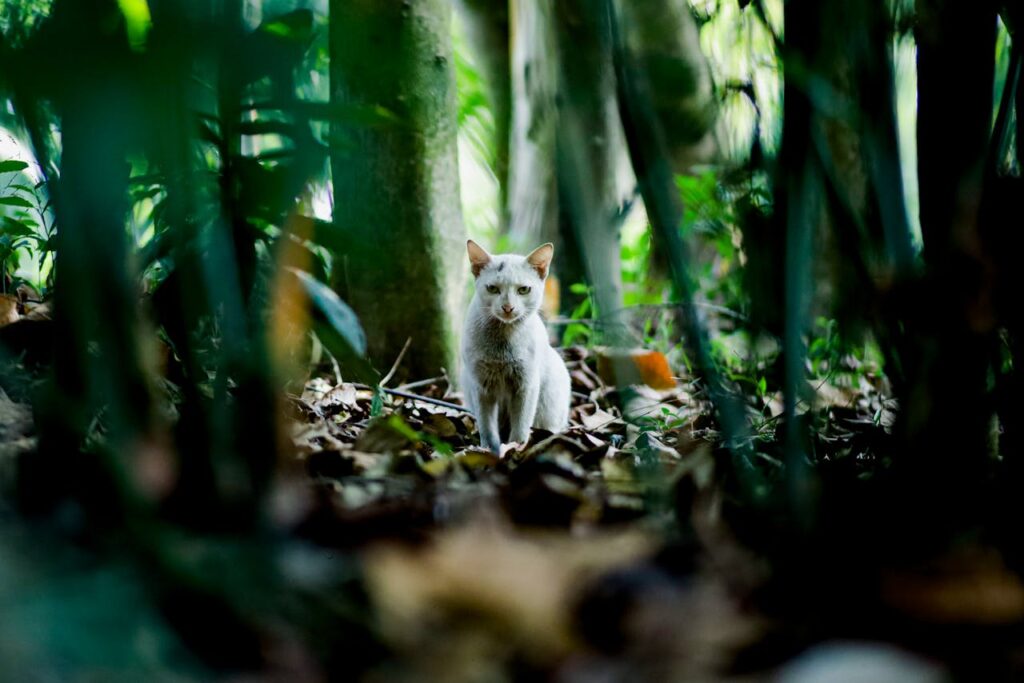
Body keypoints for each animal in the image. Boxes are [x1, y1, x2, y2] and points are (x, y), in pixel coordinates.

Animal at [460, 240, 573, 454]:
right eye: (492, 288)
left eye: (523, 290)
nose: (508, 307)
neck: (502, 342)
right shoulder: (481, 387)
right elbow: (487, 426)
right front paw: (489, 449)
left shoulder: (526, 384)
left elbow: (521, 424)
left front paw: (516, 448)